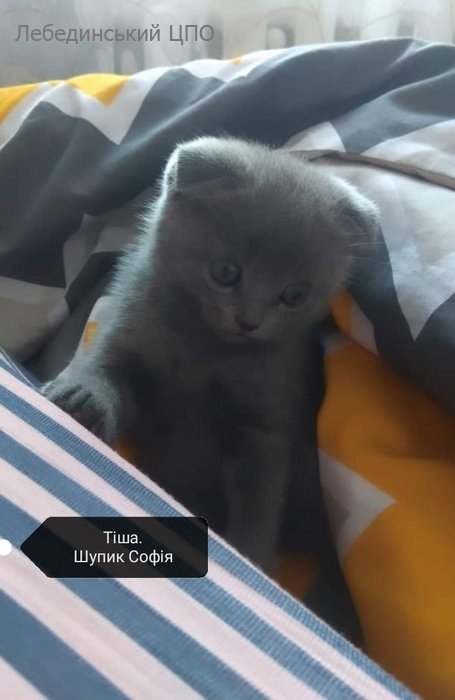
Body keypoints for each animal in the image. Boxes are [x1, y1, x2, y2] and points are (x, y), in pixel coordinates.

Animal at [44, 136, 379, 573]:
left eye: (293, 295)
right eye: (225, 272)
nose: (249, 321)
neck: (205, 348)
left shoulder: (267, 421)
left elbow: (260, 498)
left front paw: (249, 556)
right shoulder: (129, 334)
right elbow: (108, 375)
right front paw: (82, 399)